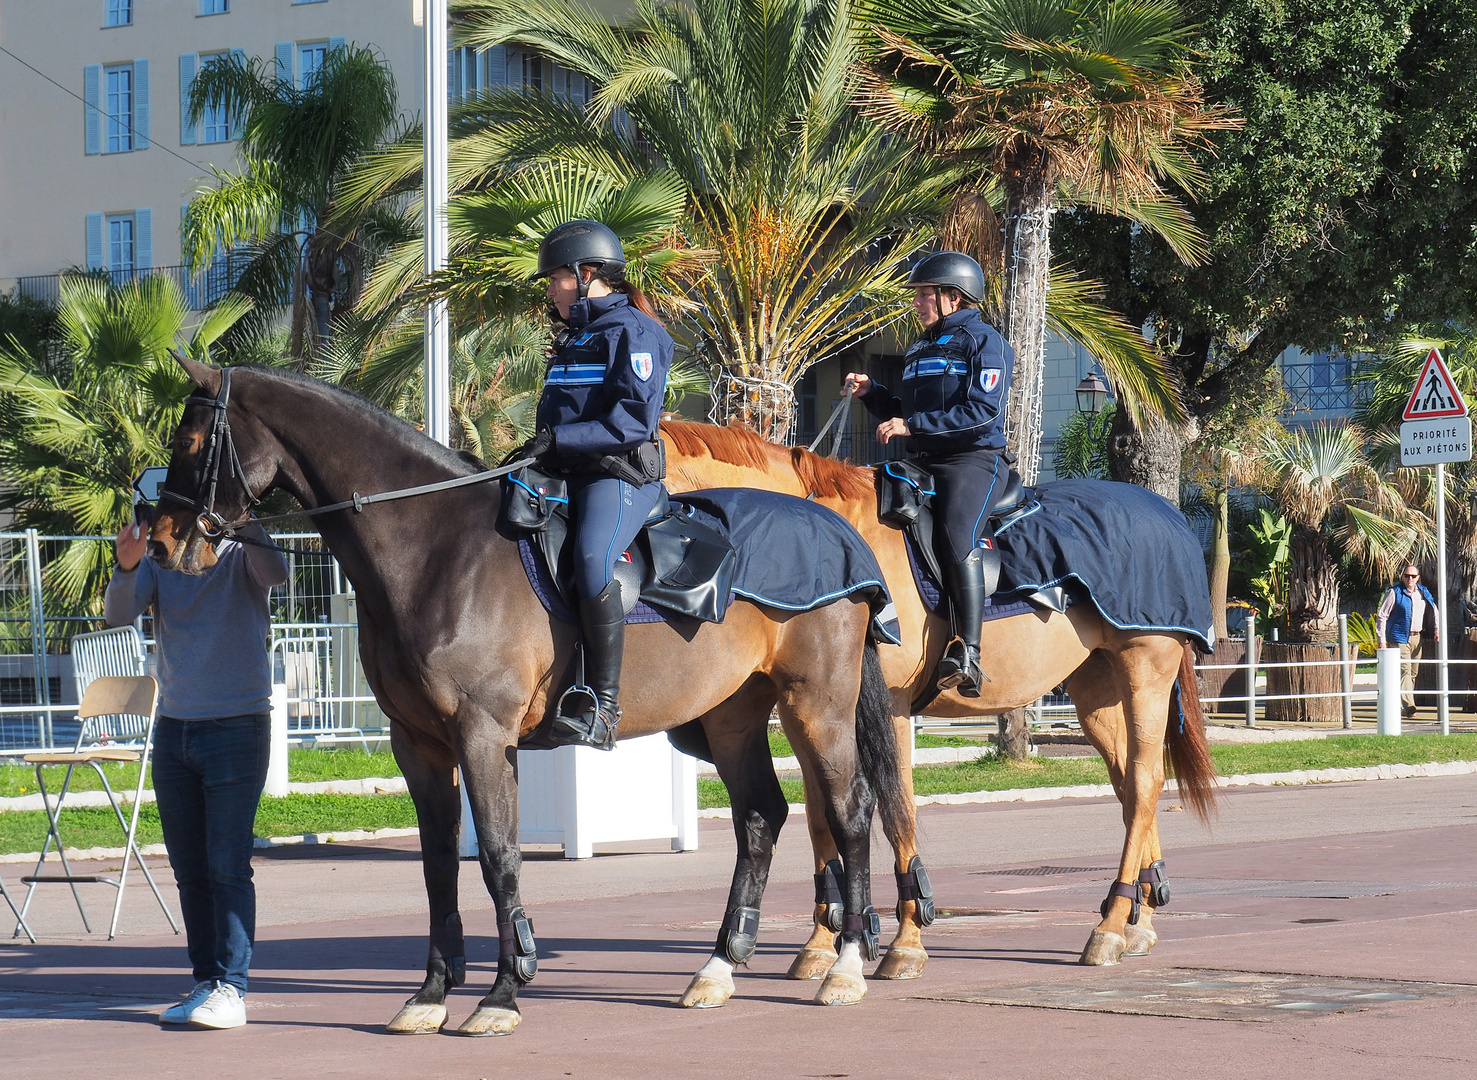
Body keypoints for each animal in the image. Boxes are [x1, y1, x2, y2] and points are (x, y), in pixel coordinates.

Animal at [152, 364, 909, 1040]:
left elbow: (498, 855)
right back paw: (717, 969)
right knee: (759, 816)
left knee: (849, 811)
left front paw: (503, 994)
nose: (162, 545)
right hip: (730, 719)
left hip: (816, 707)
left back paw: (844, 967)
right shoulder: (417, 744)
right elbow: (437, 865)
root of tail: (842, 535)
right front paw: (430, 996)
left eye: (189, 441)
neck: (432, 546)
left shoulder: (483, 734)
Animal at [664, 419, 1217, 975]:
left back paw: (1110, 925)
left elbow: (898, 807)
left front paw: (904, 939)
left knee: (1145, 781)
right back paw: (1139, 917)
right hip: (1096, 689)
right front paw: (821, 942)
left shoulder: (885, 709)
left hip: (1146, 669)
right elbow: (822, 811)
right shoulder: (812, 708)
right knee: (1128, 784)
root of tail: (1166, 512)